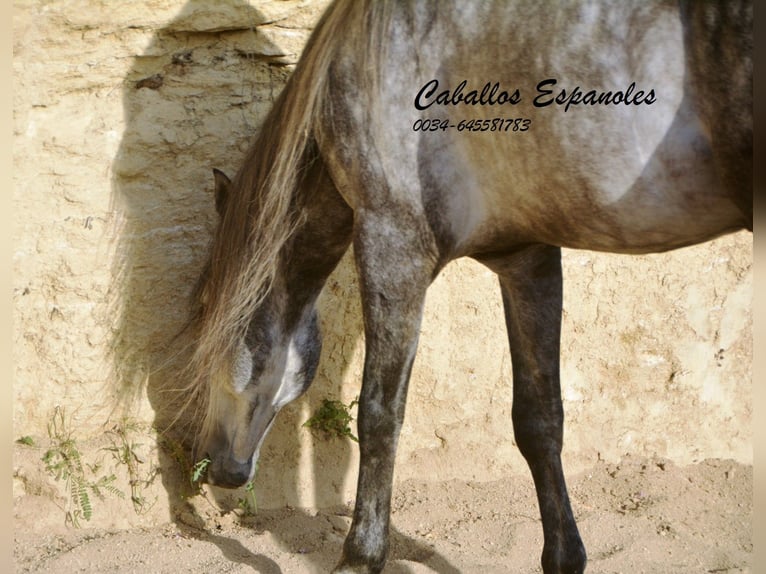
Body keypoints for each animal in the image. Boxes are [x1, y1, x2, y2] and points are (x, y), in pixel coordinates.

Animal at [188, 2, 756, 572]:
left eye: (206, 313)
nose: (215, 464)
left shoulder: (393, 244)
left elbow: (378, 416)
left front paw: (360, 556)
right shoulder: (528, 259)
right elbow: (539, 418)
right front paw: (563, 555)